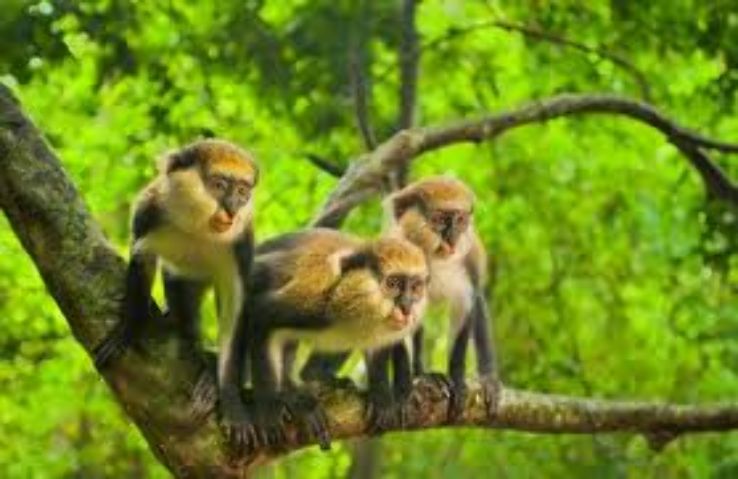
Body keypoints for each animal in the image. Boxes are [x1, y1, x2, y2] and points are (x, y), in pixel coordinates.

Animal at [92, 138, 259, 436]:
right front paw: (129, 330)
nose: (232, 209)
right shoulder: (149, 211)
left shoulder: (241, 242)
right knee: (184, 306)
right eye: (219, 185)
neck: (198, 228)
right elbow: (143, 260)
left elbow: (236, 304)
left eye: (242, 192)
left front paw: (231, 400)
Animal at [240, 228, 429, 450]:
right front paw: (281, 406)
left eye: (415, 287)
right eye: (393, 283)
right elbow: (260, 314)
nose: (407, 307)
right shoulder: (314, 306)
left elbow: (378, 349)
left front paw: (381, 397)